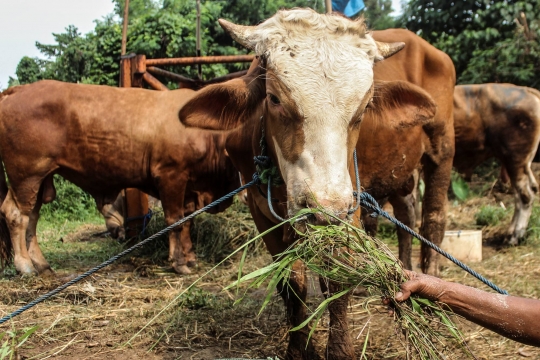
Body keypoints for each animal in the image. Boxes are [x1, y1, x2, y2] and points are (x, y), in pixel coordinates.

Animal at [454, 83, 540, 245]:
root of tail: (527, 90)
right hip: (521, 163)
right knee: (525, 191)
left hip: (514, 159)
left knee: (525, 194)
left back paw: (514, 236)